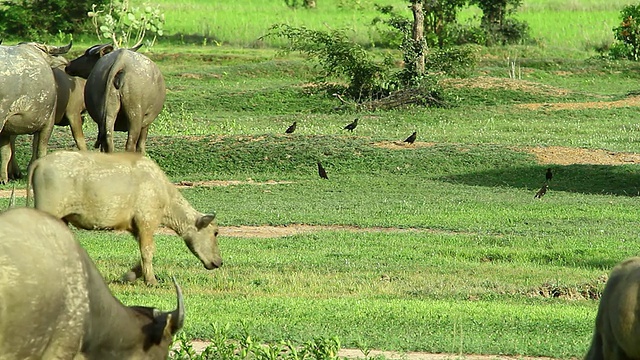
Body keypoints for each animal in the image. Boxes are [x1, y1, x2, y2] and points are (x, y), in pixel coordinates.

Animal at [28, 150, 222, 286]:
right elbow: (148, 252)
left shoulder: (135, 228)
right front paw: (151, 280)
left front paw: (128, 276)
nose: (219, 262)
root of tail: (39, 162)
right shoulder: (147, 222)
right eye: (216, 232)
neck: (165, 195)